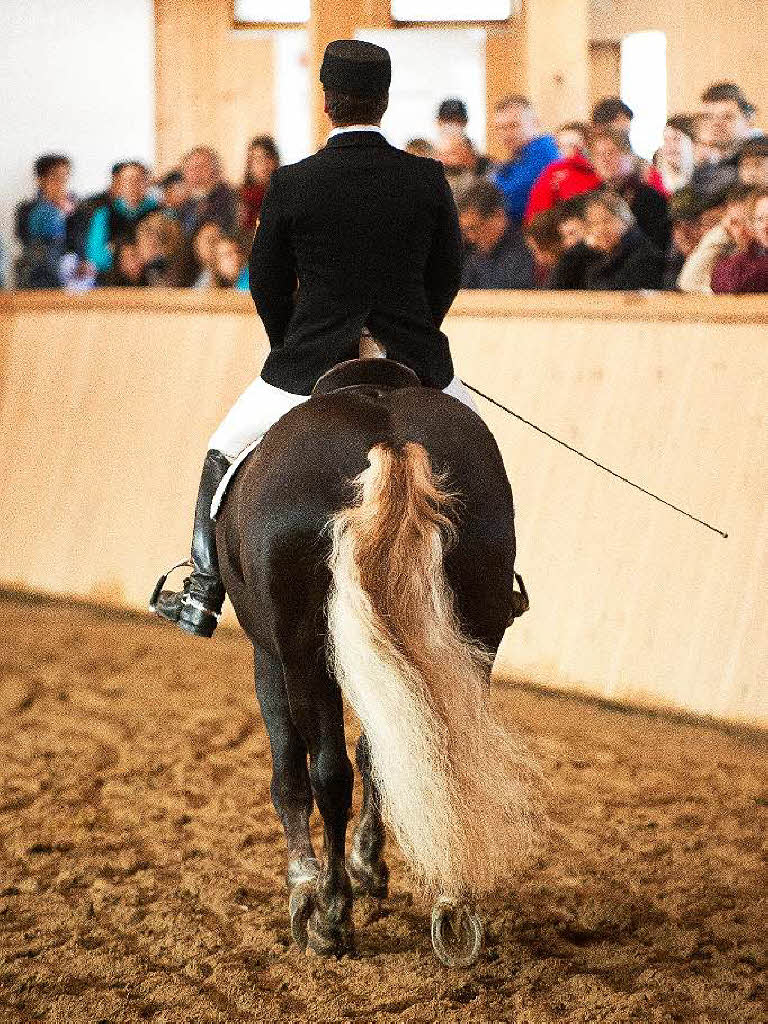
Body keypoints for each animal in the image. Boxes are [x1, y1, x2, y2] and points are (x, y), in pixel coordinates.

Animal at [214, 356, 544, 962]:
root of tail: (390, 440)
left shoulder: (270, 657)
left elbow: (289, 773)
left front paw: (304, 889)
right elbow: (381, 751)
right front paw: (370, 864)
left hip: (303, 657)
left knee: (328, 774)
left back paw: (329, 915)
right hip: (473, 638)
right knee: (438, 747)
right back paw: (452, 905)